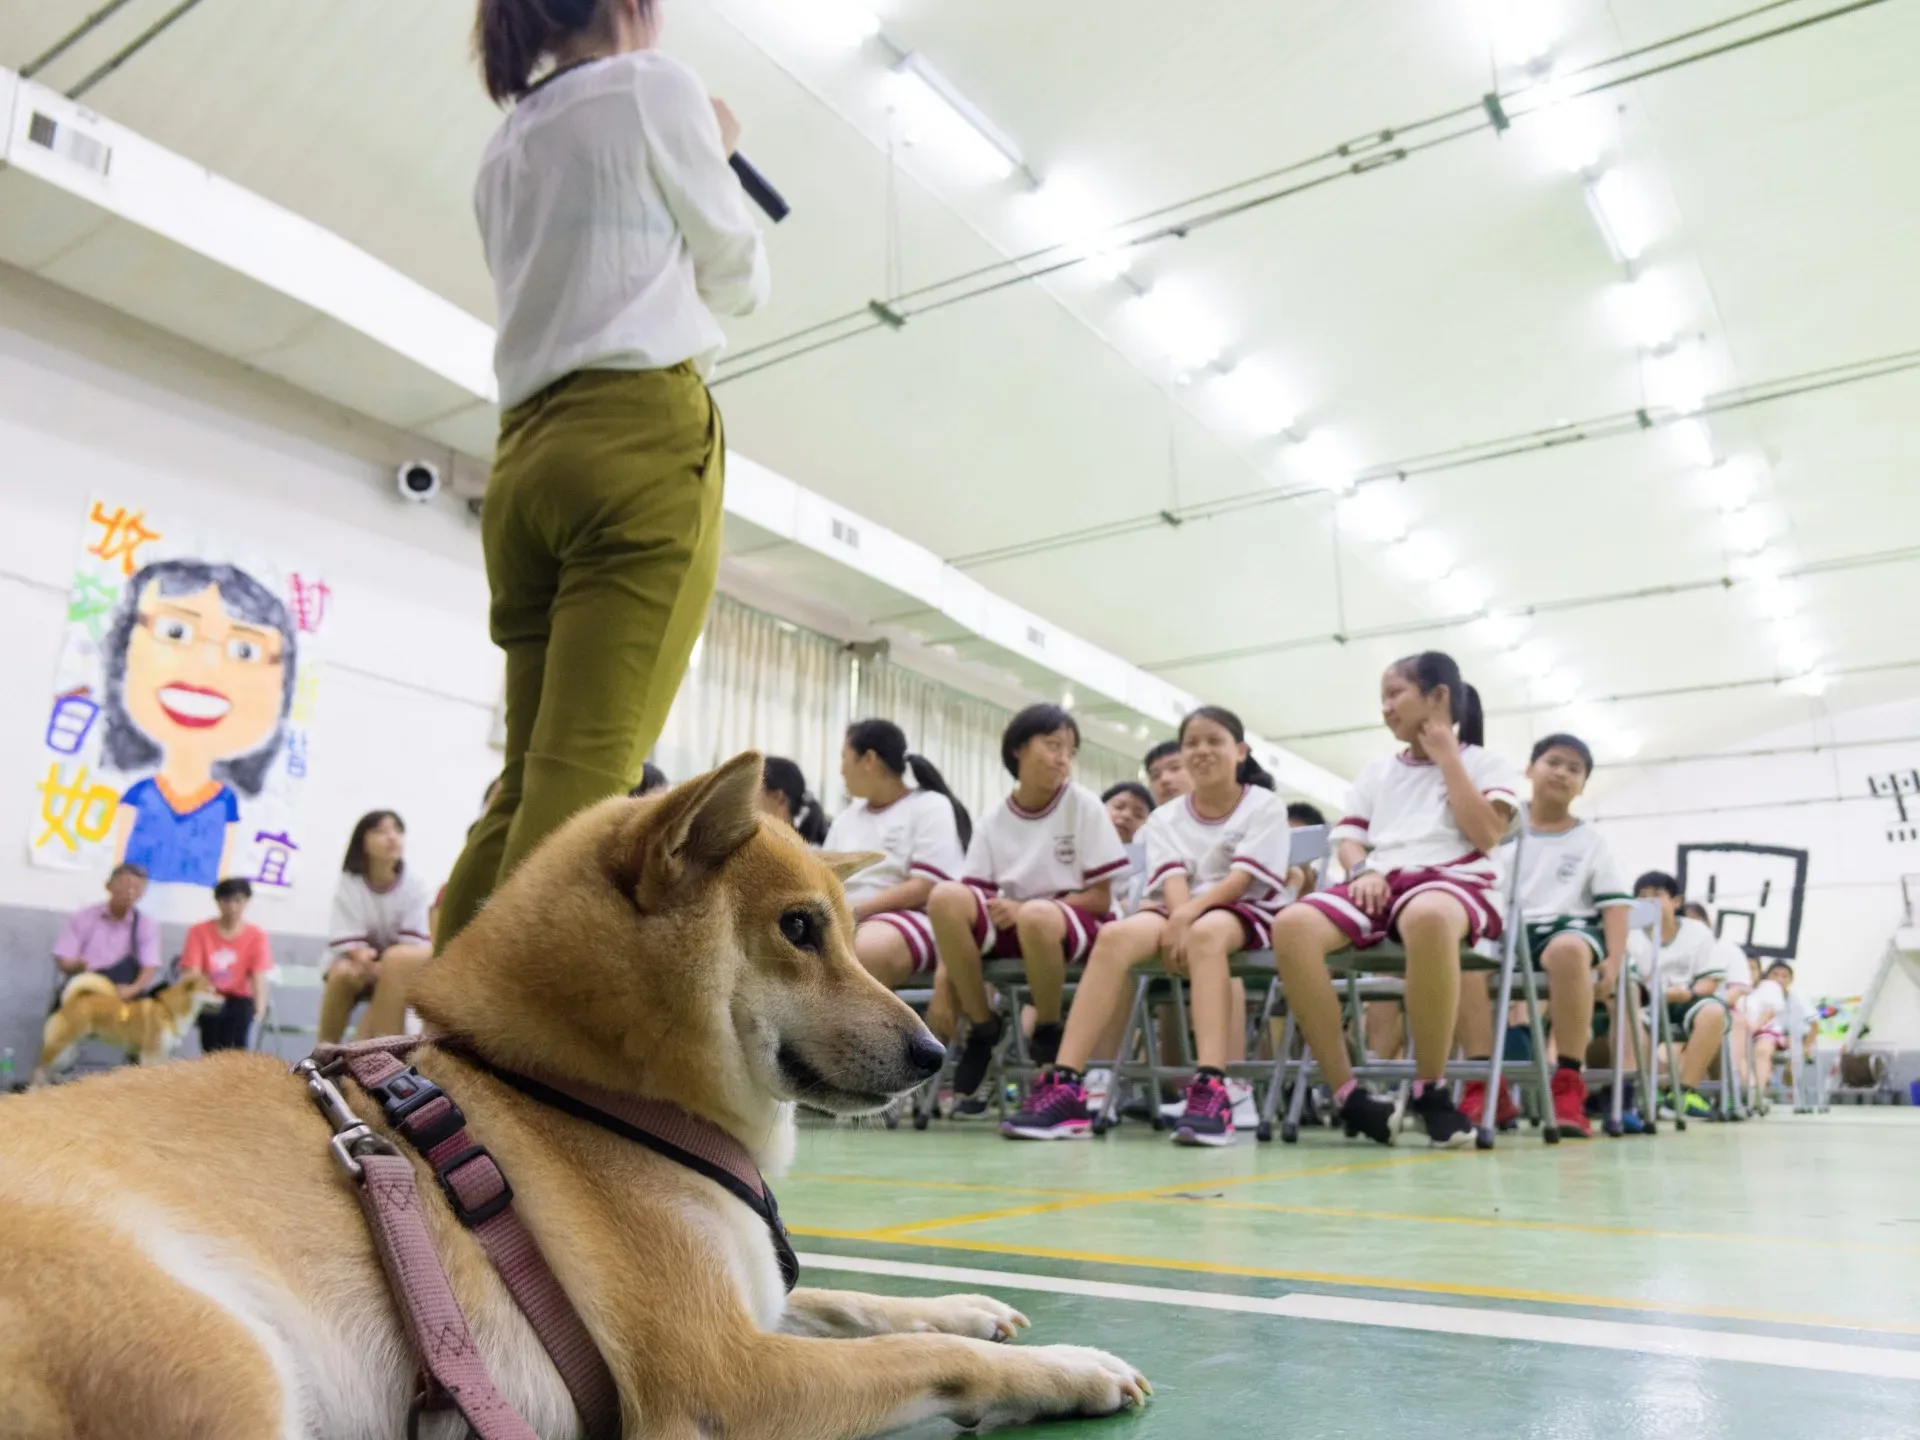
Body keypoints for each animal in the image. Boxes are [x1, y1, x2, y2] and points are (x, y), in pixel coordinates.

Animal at [0, 756, 1144, 1440]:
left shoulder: (744, 1301)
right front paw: (1067, 1367)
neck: (573, 1088)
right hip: (219, 1367)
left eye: (845, 930)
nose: (936, 1049)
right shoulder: (720, 1375)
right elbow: (920, 1353)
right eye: (799, 929)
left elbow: (857, 1300)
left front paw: (975, 1307)